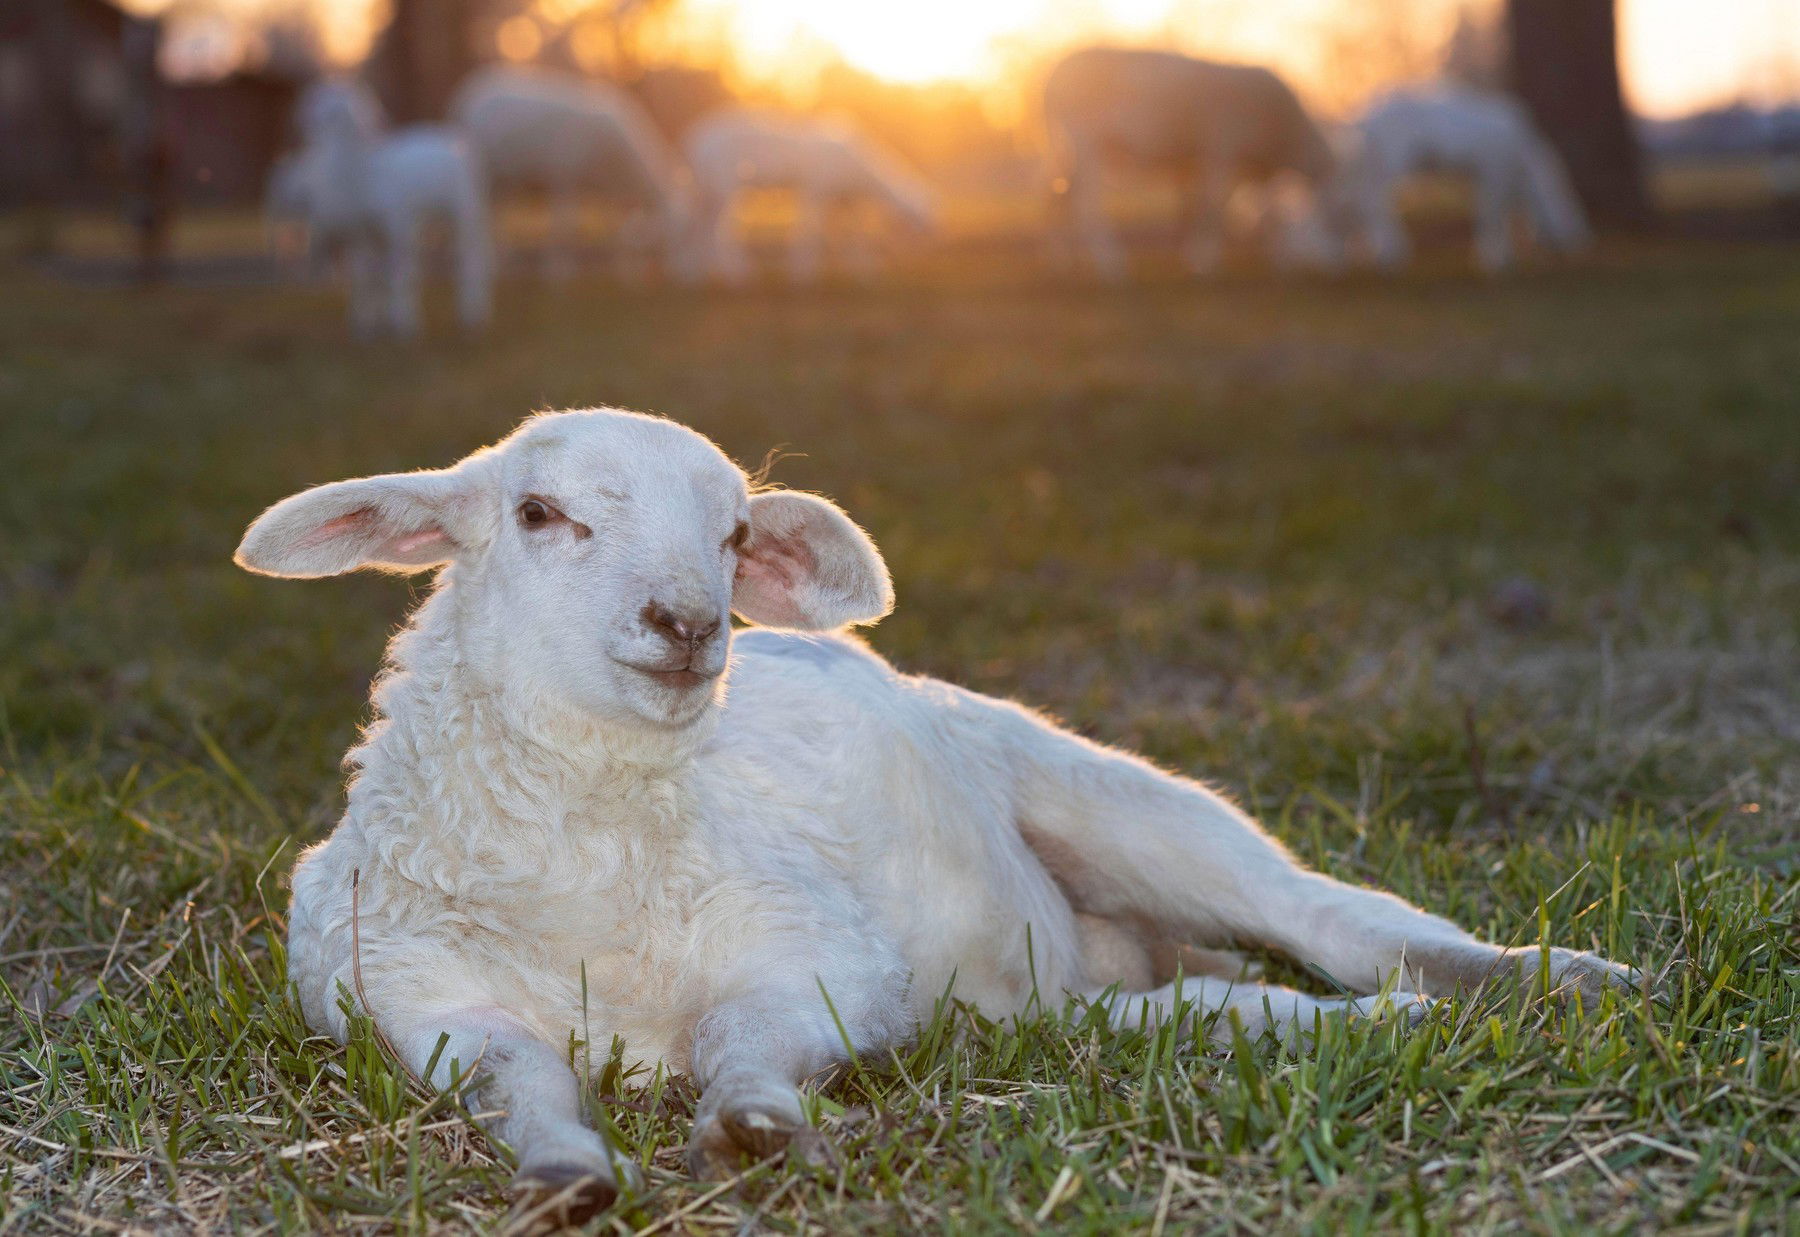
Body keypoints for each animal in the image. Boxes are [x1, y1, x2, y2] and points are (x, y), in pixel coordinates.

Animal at [239, 408, 1648, 1217]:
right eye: (538, 514)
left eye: (734, 535)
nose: (690, 624)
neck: (592, 878)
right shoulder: (417, 1007)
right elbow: (516, 1082)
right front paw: (565, 1178)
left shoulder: (821, 959)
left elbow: (741, 1037)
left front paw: (754, 1127)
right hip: (1046, 998)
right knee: (1219, 1008)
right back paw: (1377, 1024)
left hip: (1120, 805)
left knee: (1331, 918)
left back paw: (1549, 980)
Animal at [453, 63, 691, 282]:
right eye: (678, 234)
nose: (678, 270)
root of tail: (465, 98)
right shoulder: (564, 175)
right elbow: (565, 224)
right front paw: (560, 269)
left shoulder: (604, 187)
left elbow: (615, 225)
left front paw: (624, 268)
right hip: (484, 168)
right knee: (483, 210)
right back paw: (492, 263)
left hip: (506, 175)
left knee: (495, 209)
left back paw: (504, 261)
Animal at [684, 107, 943, 286]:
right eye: (924, 219)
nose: (933, 247)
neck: (859, 174)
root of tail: (695, 142)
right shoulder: (815, 193)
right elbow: (812, 232)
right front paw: (803, 274)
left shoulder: (840, 201)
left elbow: (851, 234)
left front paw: (862, 270)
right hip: (724, 186)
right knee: (715, 229)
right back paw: (736, 275)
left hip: (706, 189)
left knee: (697, 226)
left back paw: (696, 274)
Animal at [1044, 45, 1339, 279]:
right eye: (1332, 214)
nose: (1332, 265)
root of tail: (1054, 76)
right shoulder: (1220, 152)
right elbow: (1213, 207)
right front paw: (1204, 262)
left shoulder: (1237, 167)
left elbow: (1261, 213)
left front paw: (1279, 262)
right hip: (1085, 141)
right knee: (1085, 203)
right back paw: (1110, 264)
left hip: (1067, 152)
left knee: (1060, 198)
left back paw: (1063, 263)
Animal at [1339, 85, 1591, 275]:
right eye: (1568, 205)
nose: (1581, 240)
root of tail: (1366, 118)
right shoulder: (1494, 170)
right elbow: (1493, 211)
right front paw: (1497, 261)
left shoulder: (1488, 177)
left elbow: (1499, 209)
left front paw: (1502, 256)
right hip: (1391, 161)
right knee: (1373, 202)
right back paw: (1391, 256)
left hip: (1374, 163)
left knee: (1362, 199)